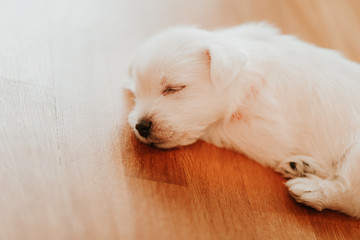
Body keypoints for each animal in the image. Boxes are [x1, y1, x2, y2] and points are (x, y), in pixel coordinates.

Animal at [126, 22, 360, 218]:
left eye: (173, 88)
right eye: (138, 93)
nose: (141, 126)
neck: (246, 76)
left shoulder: (267, 130)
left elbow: (217, 126)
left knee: (350, 196)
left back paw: (312, 190)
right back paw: (303, 166)